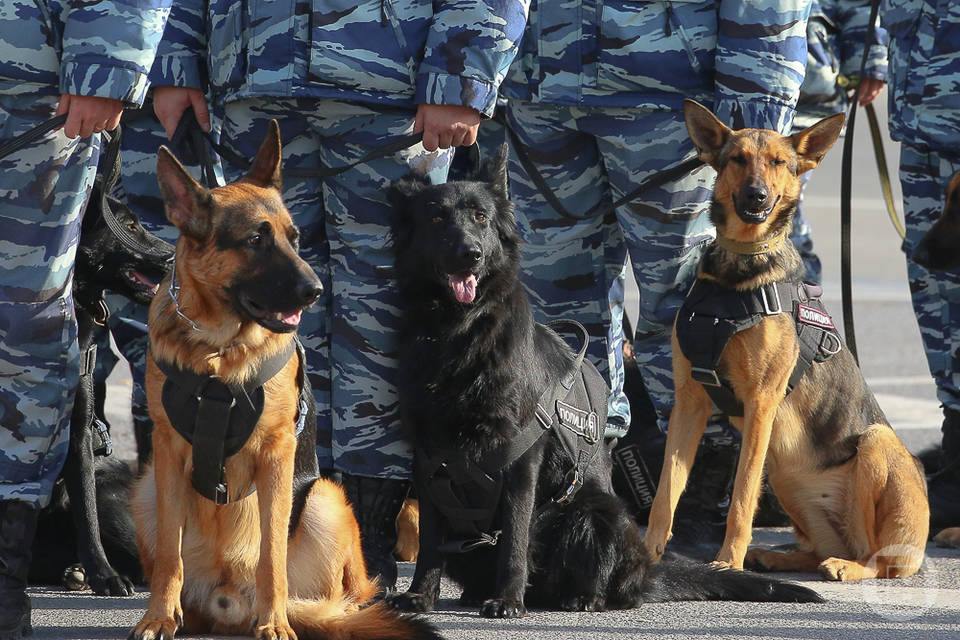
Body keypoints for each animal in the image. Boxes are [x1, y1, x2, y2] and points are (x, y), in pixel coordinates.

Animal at [28, 127, 171, 596]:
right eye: (128, 226)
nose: (172, 256)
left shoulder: (77, 432)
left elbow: (85, 511)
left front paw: (104, 575)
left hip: (116, 505)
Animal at [126, 121, 438, 640]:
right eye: (256, 239)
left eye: (294, 238)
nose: (314, 291)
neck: (219, 351)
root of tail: (229, 601)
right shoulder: (167, 452)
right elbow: (170, 554)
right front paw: (157, 618)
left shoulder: (277, 455)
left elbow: (272, 553)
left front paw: (274, 624)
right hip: (147, 488)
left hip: (326, 499)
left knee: (346, 594)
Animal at [386, 142, 820, 616]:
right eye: (436, 220)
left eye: (481, 217)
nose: (471, 254)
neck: (458, 333)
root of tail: (648, 573)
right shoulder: (429, 458)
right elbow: (431, 542)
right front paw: (420, 595)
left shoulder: (521, 460)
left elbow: (515, 537)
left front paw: (508, 600)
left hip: (596, 514)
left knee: (610, 584)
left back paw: (578, 597)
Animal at [644, 99, 928, 580]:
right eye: (738, 160)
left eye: (779, 162)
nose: (756, 196)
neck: (739, 268)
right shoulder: (690, 401)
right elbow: (666, 493)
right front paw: (645, 555)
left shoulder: (760, 403)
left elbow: (741, 499)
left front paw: (727, 562)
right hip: (783, 475)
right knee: (821, 547)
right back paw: (779, 556)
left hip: (874, 444)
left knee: (873, 556)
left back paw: (845, 566)